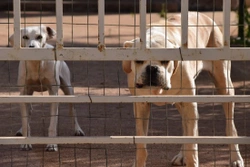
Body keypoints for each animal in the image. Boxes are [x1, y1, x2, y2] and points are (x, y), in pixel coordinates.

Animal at [123, 12, 244, 167]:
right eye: (138, 60)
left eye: (165, 61)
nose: (152, 68)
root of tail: (203, 15)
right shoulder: (141, 106)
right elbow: (141, 145)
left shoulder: (189, 104)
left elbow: (192, 143)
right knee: (187, 129)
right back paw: (182, 156)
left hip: (224, 87)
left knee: (229, 126)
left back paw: (235, 158)